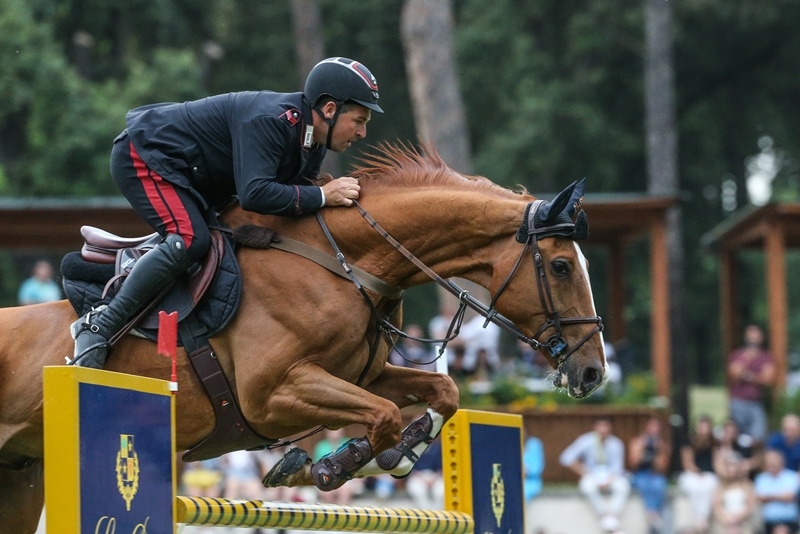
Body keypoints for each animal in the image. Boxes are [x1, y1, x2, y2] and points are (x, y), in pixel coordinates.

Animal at [0, 143, 604, 534]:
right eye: (560, 266)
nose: (593, 372)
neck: (345, 263)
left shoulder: (360, 374)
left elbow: (440, 395)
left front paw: (390, 456)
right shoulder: (271, 395)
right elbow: (383, 414)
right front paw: (332, 464)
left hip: (23, 479)